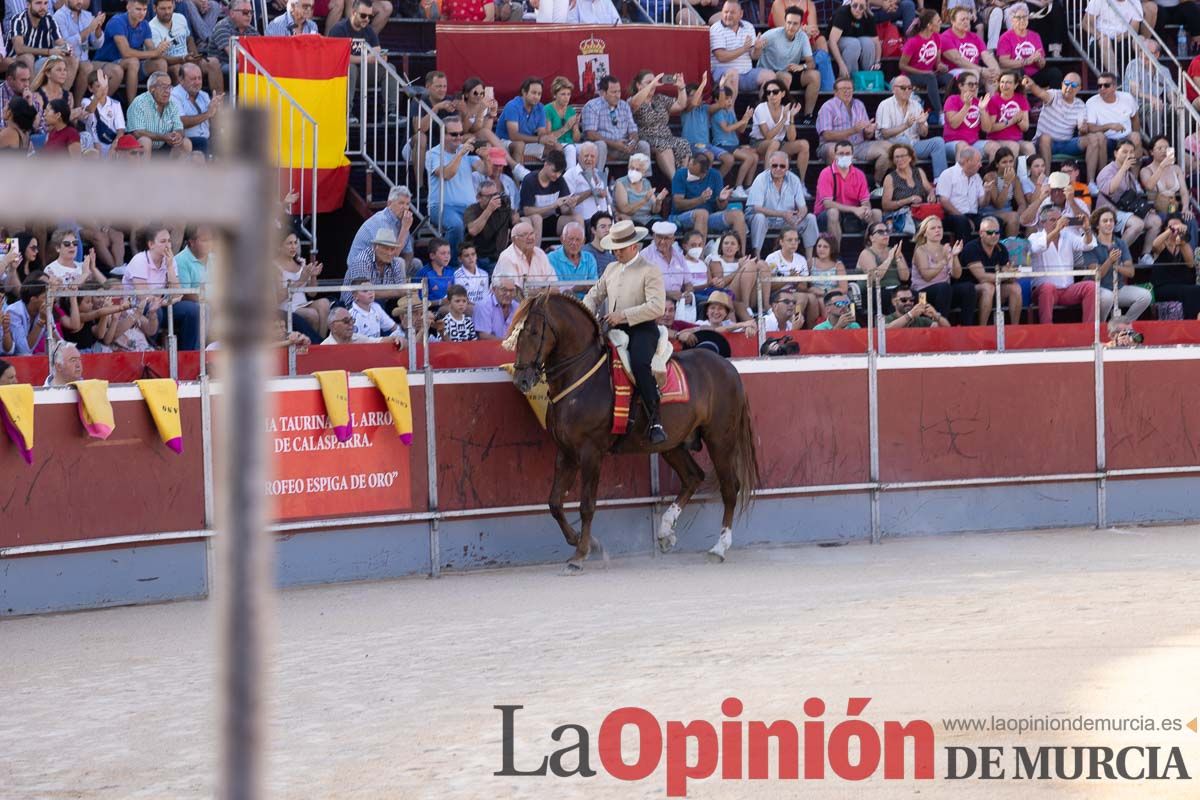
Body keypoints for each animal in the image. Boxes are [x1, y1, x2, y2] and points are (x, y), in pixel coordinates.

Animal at [506, 291, 758, 573]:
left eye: (534, 331)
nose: (522, 380)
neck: (581, 377)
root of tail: (728, 369)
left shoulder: (591, 453)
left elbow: (586, 505)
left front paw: (581, 553)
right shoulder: (566, 452)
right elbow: (554, 503)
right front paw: (583, 541)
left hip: (720, 440)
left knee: (729, 488)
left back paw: (719, 547)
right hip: (672, 444)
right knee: (694, 477)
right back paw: (665, 533)